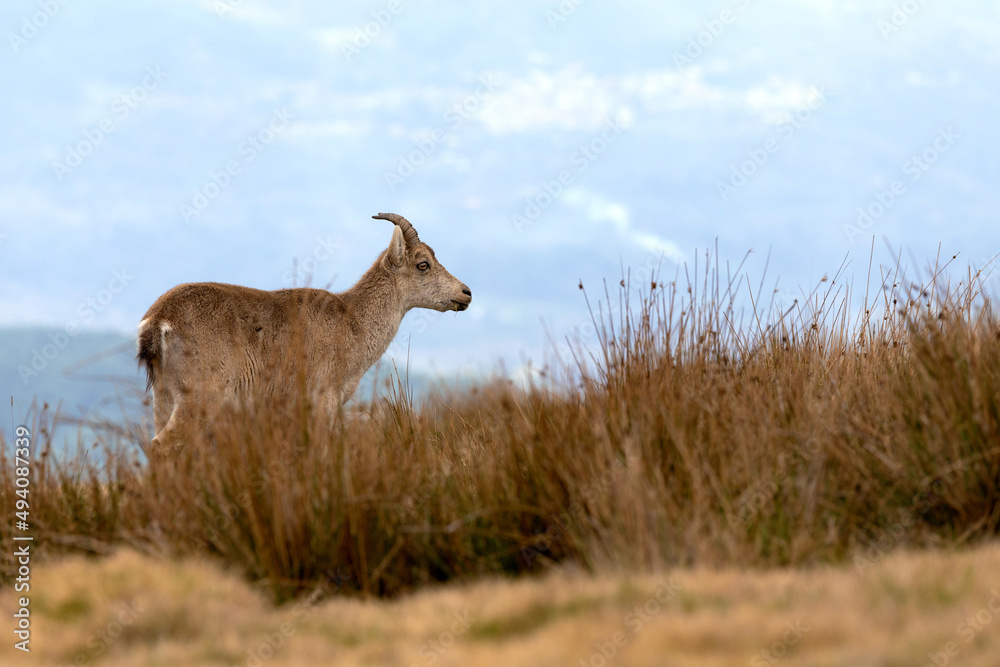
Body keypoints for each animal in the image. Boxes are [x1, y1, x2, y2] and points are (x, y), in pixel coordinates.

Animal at [136, 213, 472, 449]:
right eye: (423, 264)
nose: (465, 293)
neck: (353, 322)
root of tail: (158, 321)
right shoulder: (322, 400)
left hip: (163, 396)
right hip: (202, 395)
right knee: (164, 445)